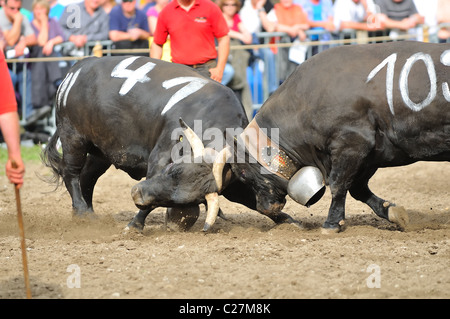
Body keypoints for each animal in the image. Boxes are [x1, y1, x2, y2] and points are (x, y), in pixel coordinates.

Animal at [134, 41, 450, 234]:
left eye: (245, 174)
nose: (267, 207)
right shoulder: (367, 153)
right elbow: (358, 190)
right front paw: (392, 212)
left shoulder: (351, 144)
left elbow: (339, 186)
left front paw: (332, 223)